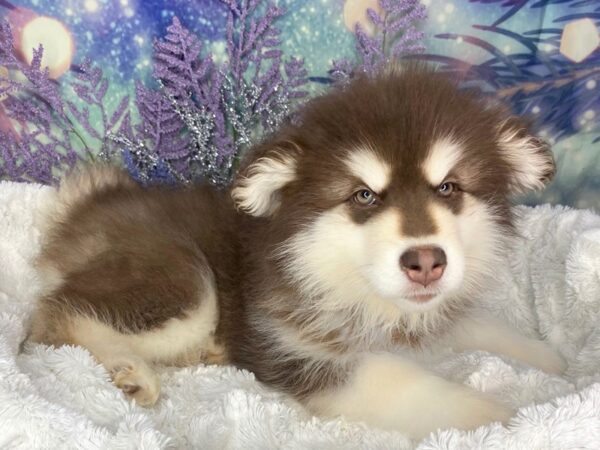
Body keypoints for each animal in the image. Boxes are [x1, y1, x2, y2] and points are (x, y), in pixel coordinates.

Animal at [30, 67, 568, 440]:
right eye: (364, 196)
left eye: (449, 187)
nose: (425, 262)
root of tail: (92, 201)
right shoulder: (296, 348)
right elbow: (403, 381)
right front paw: (501, 418)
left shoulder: (425, 316)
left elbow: (479, 325)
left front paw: (551, 357)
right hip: (183, 280)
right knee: (55, 315)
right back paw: (132, 370)